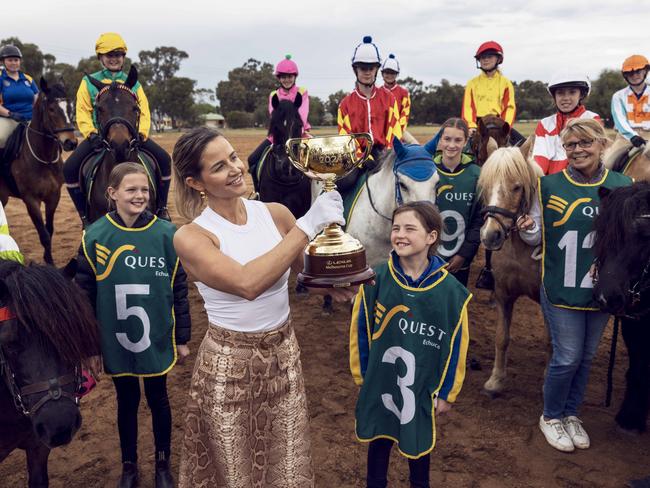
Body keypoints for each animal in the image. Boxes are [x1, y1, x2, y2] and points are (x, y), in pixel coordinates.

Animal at [0, 79, 76, 264]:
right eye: (51, 109)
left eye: (69, 107)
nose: (71, 142)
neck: (44, 158)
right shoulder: (31, 200)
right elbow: (44, 235)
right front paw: (49, 262)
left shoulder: (53, 196)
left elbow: (50, 229)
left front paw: (48, 258)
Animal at [470, 135, 540, 394]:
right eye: (486, 185)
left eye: (517, 187)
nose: (490, 235)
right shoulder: (502, 294)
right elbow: (501, 337)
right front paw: (496, 380)